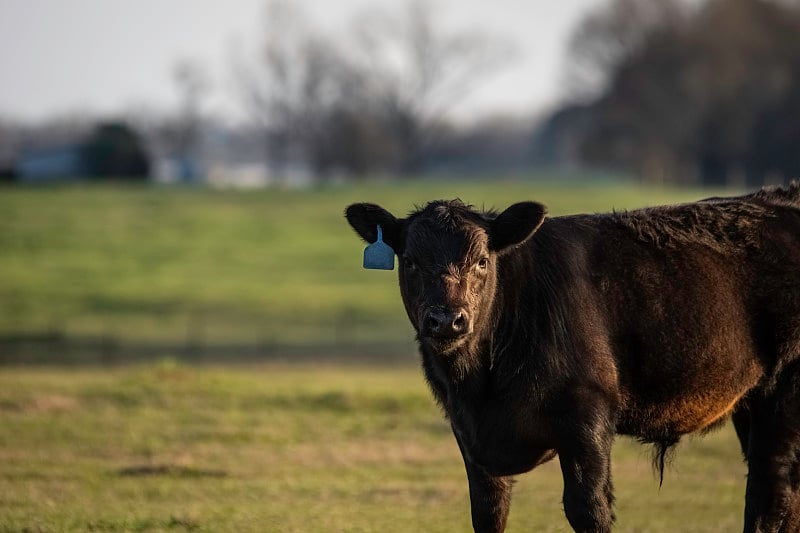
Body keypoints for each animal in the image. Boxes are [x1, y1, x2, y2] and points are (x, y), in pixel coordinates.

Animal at [346, 184, 800, 532]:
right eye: (411, 261)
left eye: (482, 260)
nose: (446, 320)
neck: (481, 388)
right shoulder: (472, 440)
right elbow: (489, 513)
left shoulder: (588, 416)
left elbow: (589, 510)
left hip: (784, 390)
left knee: (773, 491)